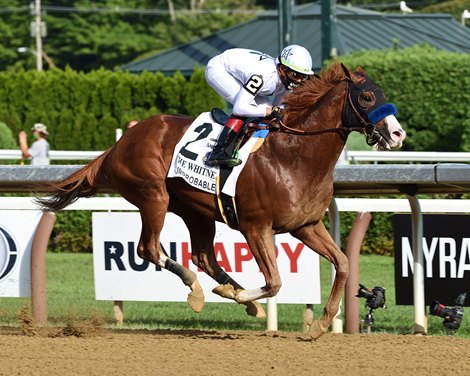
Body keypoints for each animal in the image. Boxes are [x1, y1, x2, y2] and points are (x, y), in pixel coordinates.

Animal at [35, 63, 404, 340]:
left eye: (384, 95)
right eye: (367, 97)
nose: (398, 134)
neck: (293, 156)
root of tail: (120, 143)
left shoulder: (306, 225)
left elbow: (342, 263)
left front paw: (321, 324)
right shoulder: (256, 226)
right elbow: (275, 281)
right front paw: (243, 295)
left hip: (195, 211)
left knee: (203, 256)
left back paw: (236, 297)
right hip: (153, 196)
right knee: (149, 248)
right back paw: (202, 291)